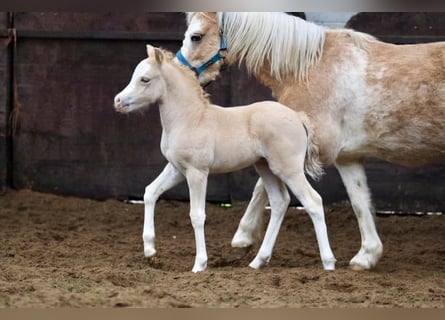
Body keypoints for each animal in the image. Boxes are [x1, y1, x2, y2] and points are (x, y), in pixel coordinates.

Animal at [112, 45, 334, 272]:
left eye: (145, 79)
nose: (118, 101)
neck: (189, 118)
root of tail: (298, 117)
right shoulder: (176, 169)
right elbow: (150, 192)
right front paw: (150, 250)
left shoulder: (197, 172)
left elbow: (197, 215)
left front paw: (199, 264)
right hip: (266, 167)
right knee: (280, 203)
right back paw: (257, 261)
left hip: (288, 169)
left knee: (313, 202)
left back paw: (328, 263)